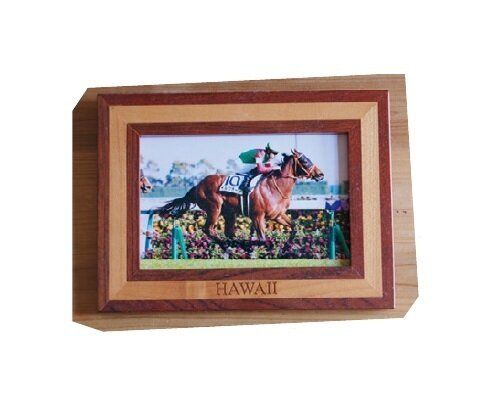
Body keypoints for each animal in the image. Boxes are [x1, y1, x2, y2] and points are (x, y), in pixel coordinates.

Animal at [158, 149, 324, 242]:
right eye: (305, 161)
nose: (320, 174)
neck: (274, 188)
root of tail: (198, 185)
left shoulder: (277, 215)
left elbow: (294, 227)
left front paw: (287, 245)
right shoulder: (257, 216)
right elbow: (262, 237)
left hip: (229, 213)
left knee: (228, 232)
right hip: (214, 208)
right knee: (209, 229)